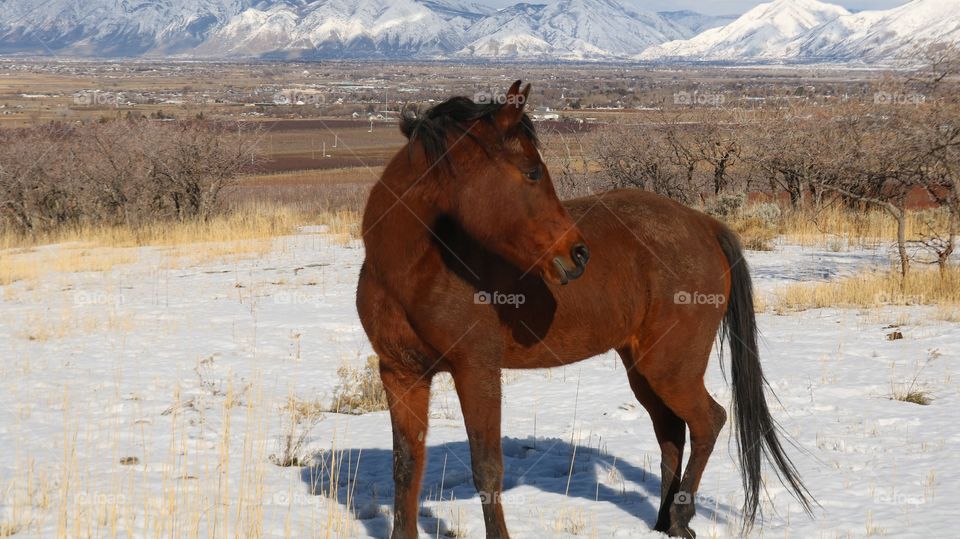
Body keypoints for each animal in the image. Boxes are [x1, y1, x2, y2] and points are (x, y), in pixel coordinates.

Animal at [356, 81, 813, 538]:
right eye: (532, 172)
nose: (577, 254)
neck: (414, 271)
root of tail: (703, 224)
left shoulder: (476, 370)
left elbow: (486, 468)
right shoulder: (401, 374)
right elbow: (406, 467)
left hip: (671, 368)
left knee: (708, 422)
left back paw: (680, 518)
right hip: (642, 369)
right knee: (671, 432)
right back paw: (663, 519)